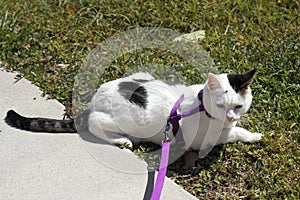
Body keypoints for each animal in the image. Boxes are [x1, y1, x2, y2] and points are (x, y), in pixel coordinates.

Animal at [5, 69, 262, 159]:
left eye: (238, 106)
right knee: (95, 124)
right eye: (220, 105)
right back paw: (123, 140)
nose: (230, 117)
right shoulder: (202, 141)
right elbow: (235, 133)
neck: (200, 104)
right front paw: (254, 135)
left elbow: (234, 129)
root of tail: (94, 101)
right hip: (127, 120)